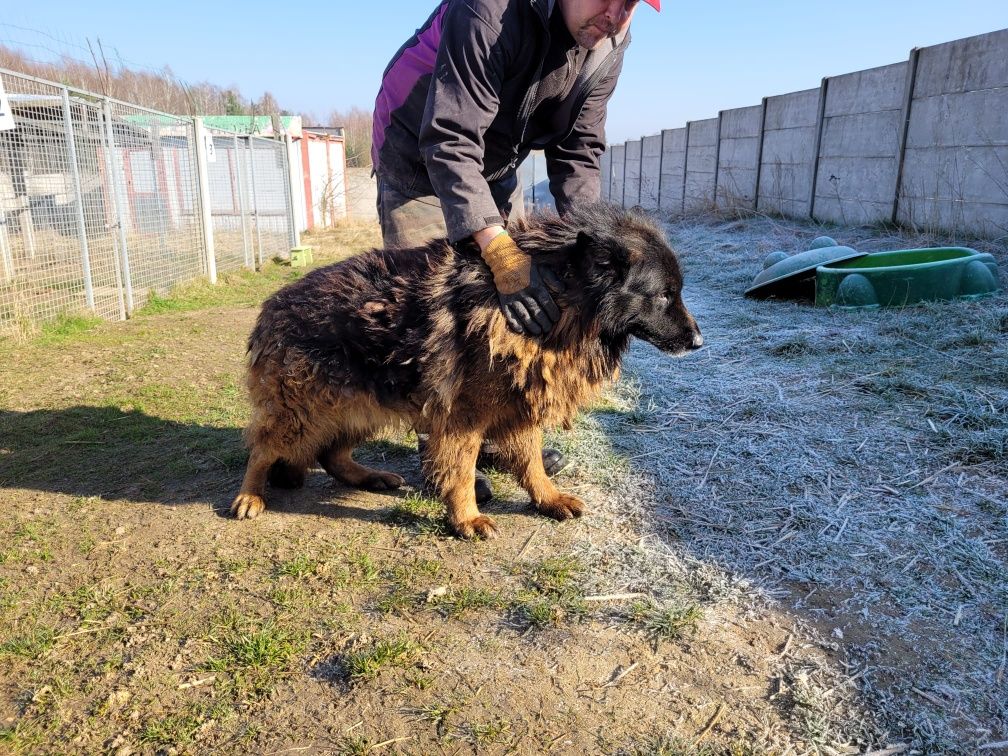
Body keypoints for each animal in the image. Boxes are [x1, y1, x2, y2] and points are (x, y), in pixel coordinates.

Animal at [230, 202, 701, 540]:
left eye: (676, 292)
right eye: (664, 295)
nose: (699, 342)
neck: (562, 296)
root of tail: (272, 305)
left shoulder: (518, 406)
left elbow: (531, 463)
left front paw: (546, 499)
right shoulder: (462, 417)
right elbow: (459, 470)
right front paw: (466, 518)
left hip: (365, 401)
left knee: (330, 453)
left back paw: (371, 477)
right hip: (303, 409)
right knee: (263, 448)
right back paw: (250, 495)